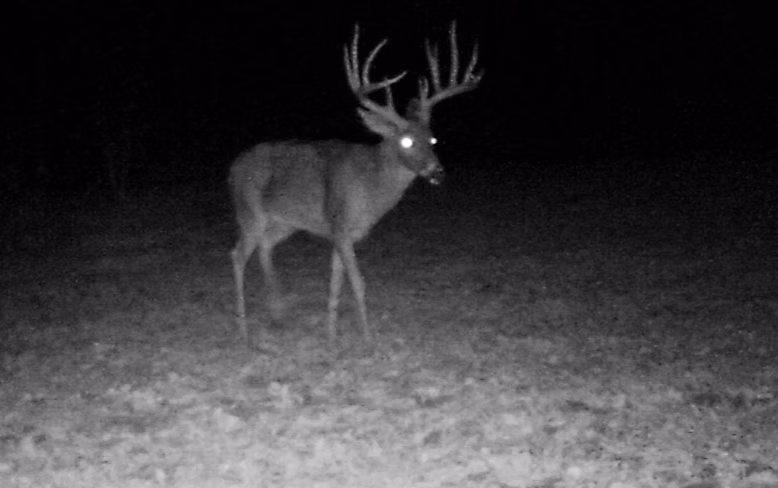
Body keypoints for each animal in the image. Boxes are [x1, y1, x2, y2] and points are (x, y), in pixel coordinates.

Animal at [228, 22, 482, 346]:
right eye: (406, 141)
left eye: (433, 139)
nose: (437, 172)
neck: (370, 185)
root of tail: (232, 168)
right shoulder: (339, 223)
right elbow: (359, 283)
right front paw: (368, 339)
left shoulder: (344, 232)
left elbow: (336, 284)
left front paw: (332, 336)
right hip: (250, 213)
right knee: (237, 255)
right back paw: (243, 329)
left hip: (285, 222)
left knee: (265, 246)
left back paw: (277, 314)